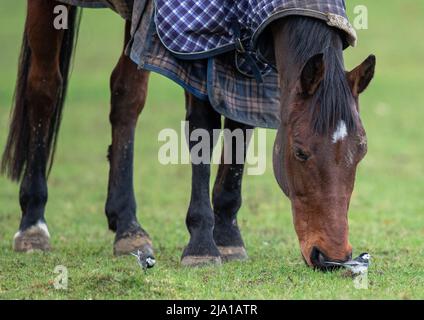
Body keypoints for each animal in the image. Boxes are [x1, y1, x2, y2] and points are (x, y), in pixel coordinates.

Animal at [2, 1, 374, 268]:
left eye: (361, 152)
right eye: (300, 152)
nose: (332, 257)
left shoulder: (248, 54)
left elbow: (240, 128)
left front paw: (227, 237)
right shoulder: (197, 49)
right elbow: (204, 129)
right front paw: (202, 244)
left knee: (126, 97)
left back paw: (127, 227)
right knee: (44, 88)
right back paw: (33, 223)